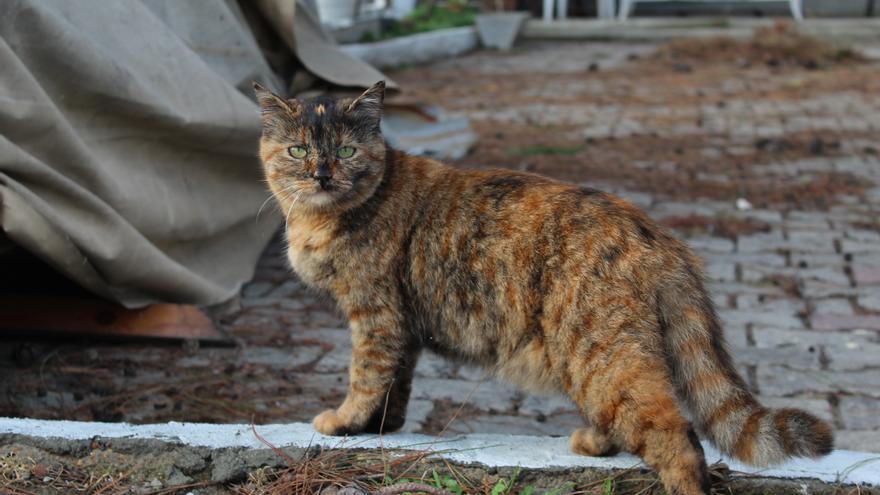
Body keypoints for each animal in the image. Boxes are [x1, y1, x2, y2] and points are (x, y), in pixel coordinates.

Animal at [253, 81, 832, 495]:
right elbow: (398, 384)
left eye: (347, 151)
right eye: (298, 150)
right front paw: (383, 429)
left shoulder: (374, 316)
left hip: (602, 354)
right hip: (599, 362)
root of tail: (661, 237)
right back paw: (594, 442)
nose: (322, 174)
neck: (320, 218)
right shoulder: (404, 325)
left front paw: (345, 422)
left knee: (678, 440)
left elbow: (366, 377)